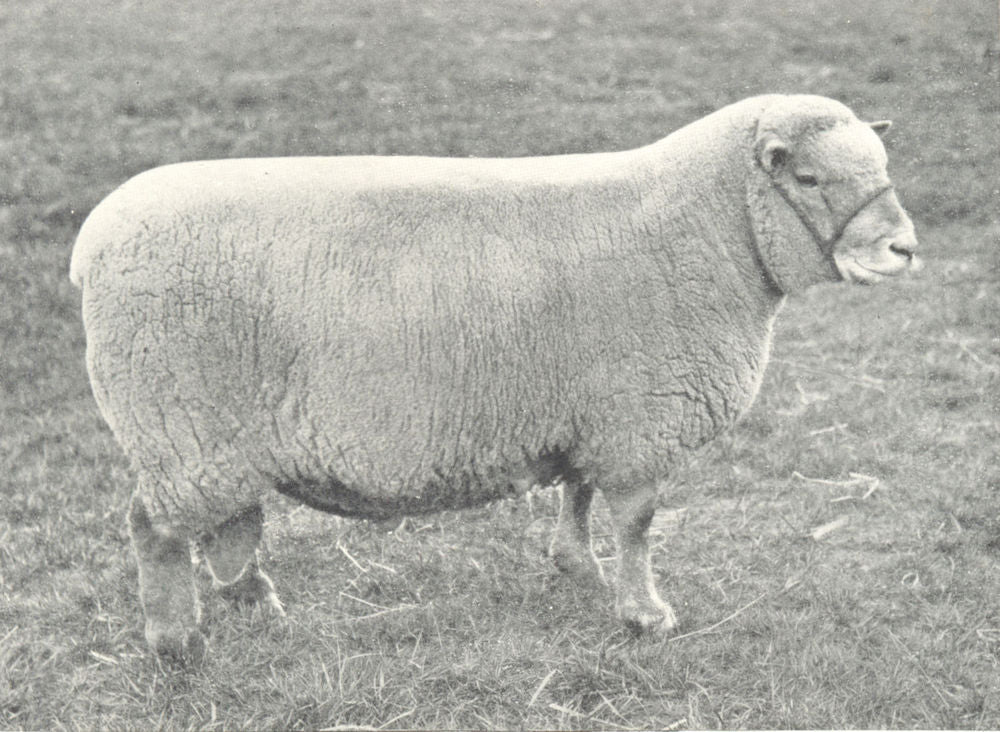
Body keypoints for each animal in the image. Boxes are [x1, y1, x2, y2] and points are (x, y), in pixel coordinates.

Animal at [70, 94, 919, 661]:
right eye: (808, 179)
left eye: (879, 168)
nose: (904, 249)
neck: (709, 227)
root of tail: (93, 243)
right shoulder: (641, 418)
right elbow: (639, 526)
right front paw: (645, 614)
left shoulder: (591, 410)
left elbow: (578, 495)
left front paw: (578, 570)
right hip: (177, 423)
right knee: (153, 528)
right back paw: (175, 641)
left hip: (216, 435)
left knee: (228, 523)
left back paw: (253, 603)